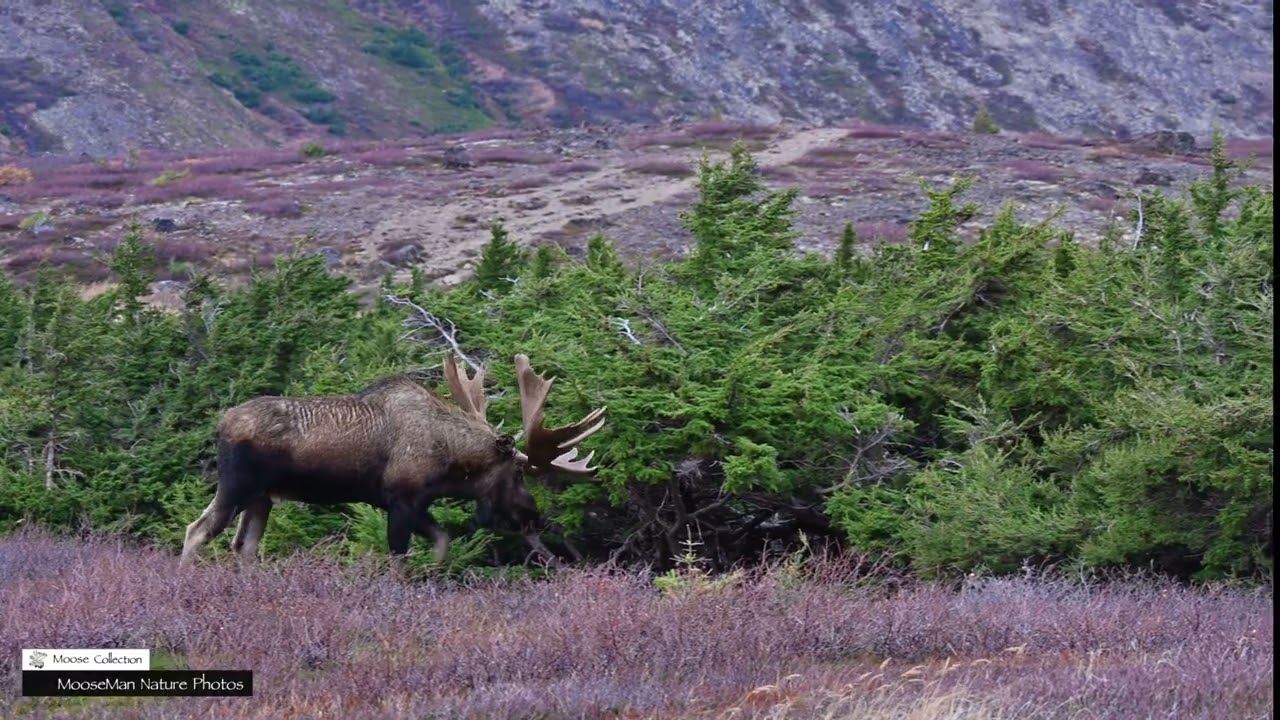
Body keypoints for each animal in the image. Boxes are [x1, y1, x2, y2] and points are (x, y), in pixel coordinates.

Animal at [179, 354, 606, 574]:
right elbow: (399, 559)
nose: (532, 515)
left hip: (262, 498)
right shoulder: (400, 499)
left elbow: (442, 541)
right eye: (517, 473)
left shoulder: (416, 503)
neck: (451, 461)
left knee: (244, 547)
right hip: (237, 485)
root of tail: (220, 426)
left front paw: (432, 576)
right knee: (196, 530)